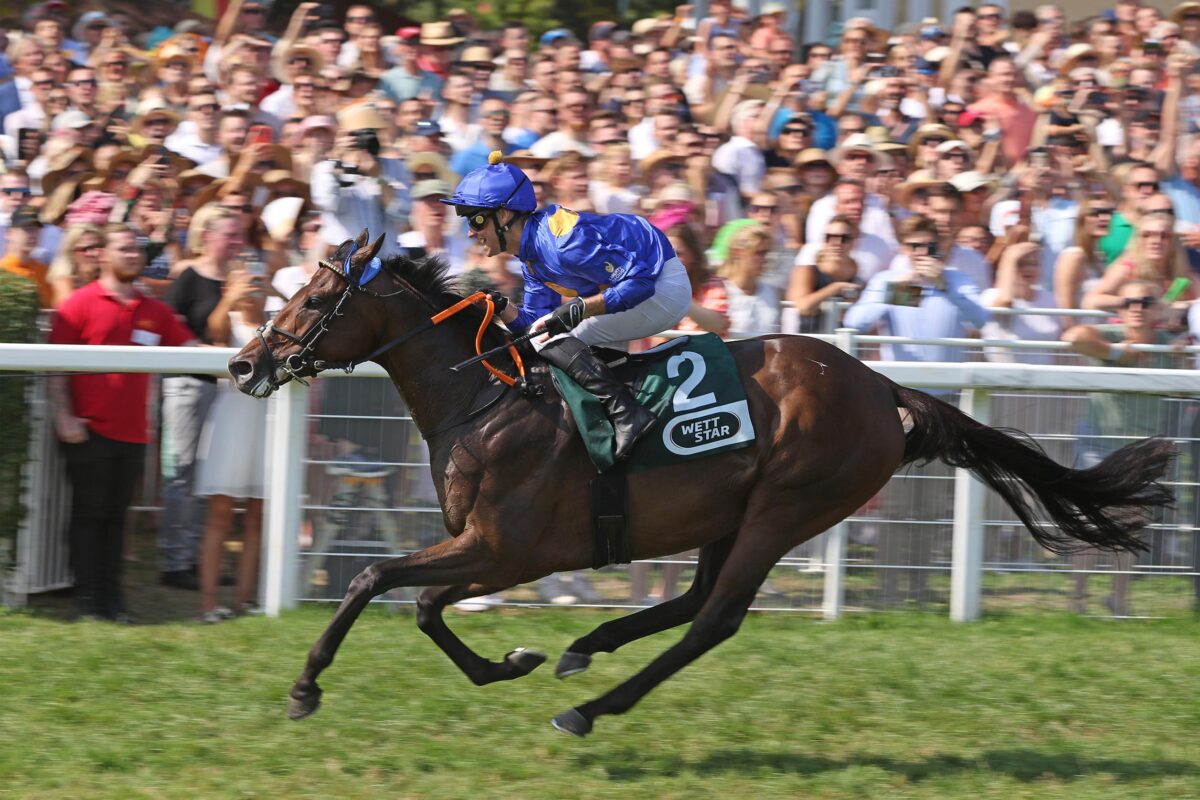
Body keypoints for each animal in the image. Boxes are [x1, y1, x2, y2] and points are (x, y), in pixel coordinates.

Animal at [231, 231, 1171, 738]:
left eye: (311, 300)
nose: (245, 363)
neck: (486, 398)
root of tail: (883, 387)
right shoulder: (488, 550)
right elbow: (421, 605)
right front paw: (514, 659)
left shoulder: (505, 550)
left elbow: (375, 579)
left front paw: (306, 688)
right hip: (732, 510)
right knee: (693, 600)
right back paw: (586, 648)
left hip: (787, 507)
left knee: (714, 618)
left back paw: (592, 705)